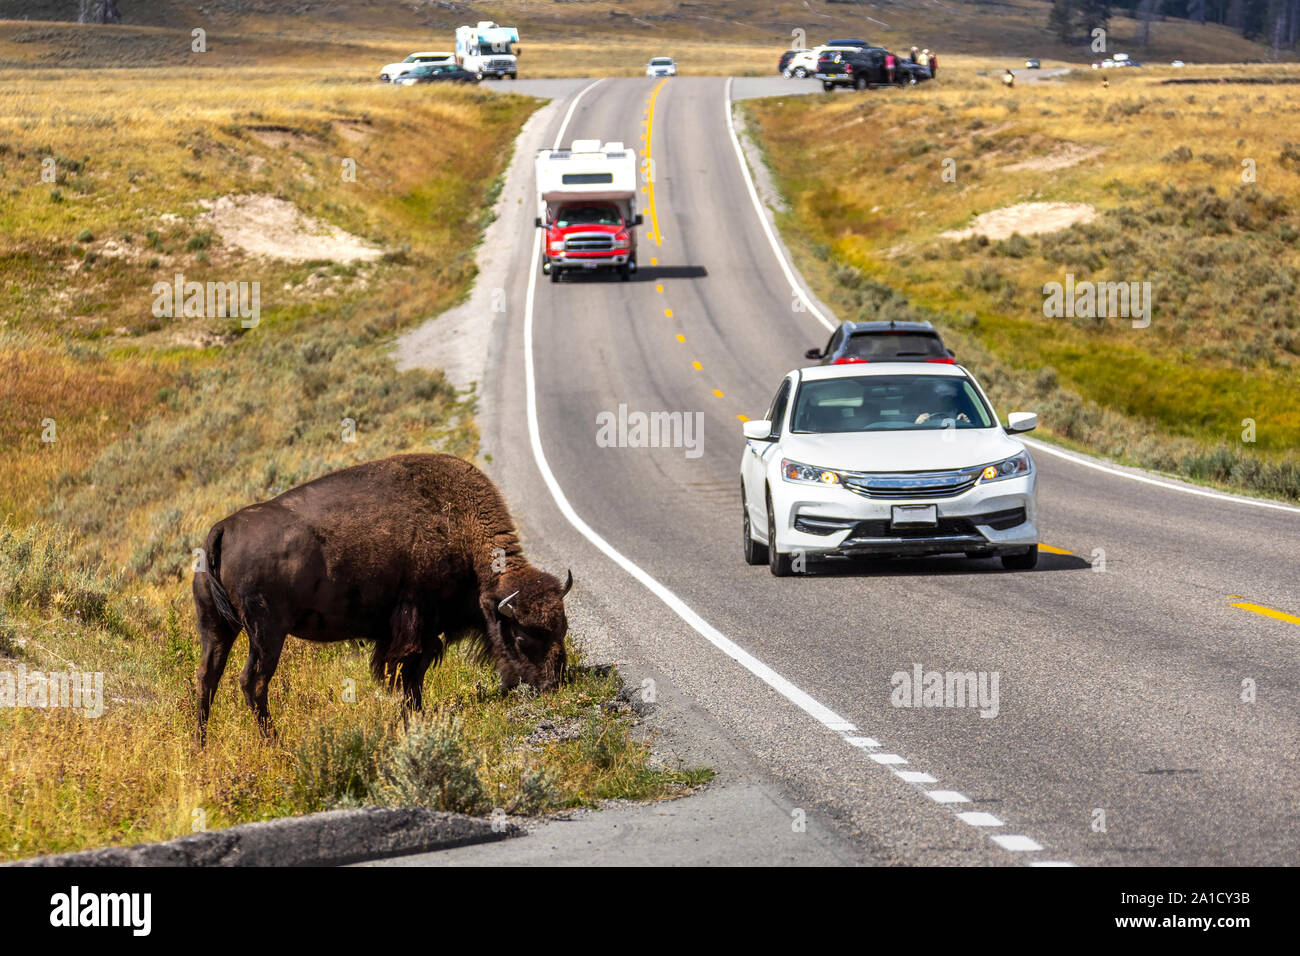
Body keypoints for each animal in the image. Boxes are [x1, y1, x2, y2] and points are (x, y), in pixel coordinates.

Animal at [192, 453, 572, 743]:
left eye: (563, 627)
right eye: (522, 637)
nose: (552, 683)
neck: (459, 528)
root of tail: (222, 529)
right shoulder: (416, 626)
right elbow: (409, 675)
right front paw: (414, 719)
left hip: (217, 628)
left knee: (207, 676)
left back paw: (201, 744)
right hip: (267, 632)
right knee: (253, 682)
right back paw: (274, 742)